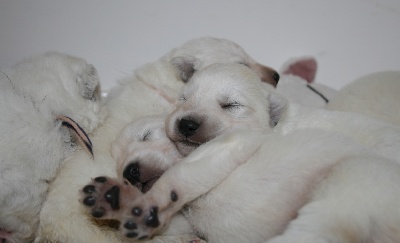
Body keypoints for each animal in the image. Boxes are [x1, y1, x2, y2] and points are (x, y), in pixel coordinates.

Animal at [80, 62, 400, 241]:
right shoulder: (187, 221)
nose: (130, 171)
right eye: (182, 98)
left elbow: (184, 174)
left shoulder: (233, 143)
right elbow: (171, 224)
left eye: (231, 105)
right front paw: (116, 198)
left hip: (354, 179)